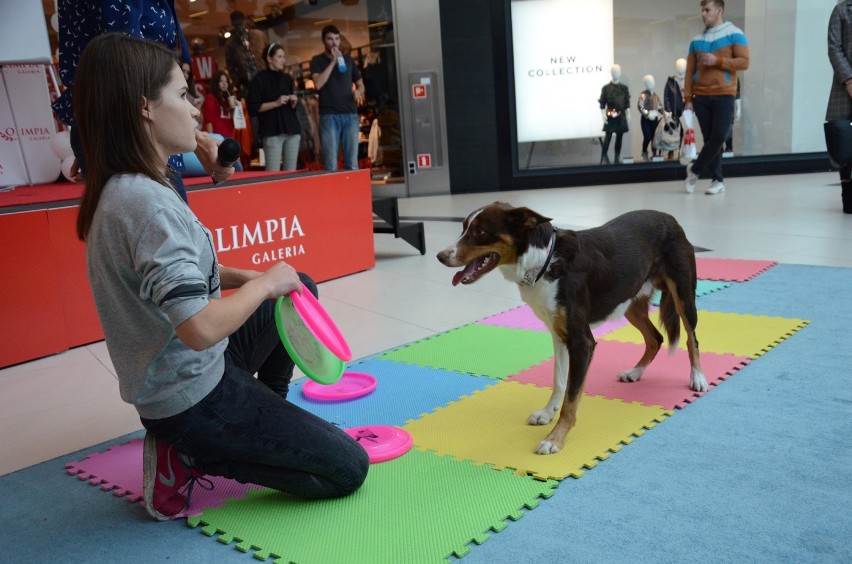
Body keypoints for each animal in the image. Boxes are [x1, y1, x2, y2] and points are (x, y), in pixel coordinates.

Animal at [440, 205, 704, 456]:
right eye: (463, 228)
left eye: (480, 232)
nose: (440, 256)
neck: (544, 262)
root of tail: (670, 218)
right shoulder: (558, 332)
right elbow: (559, 381)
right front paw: (548, 413)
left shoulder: (582, 342)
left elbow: (571, 398)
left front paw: (555, 438)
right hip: (629, 302)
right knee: (655, 338)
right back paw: (635, 372)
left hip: (683, 294)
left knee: (691, 338)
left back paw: (698, 377)